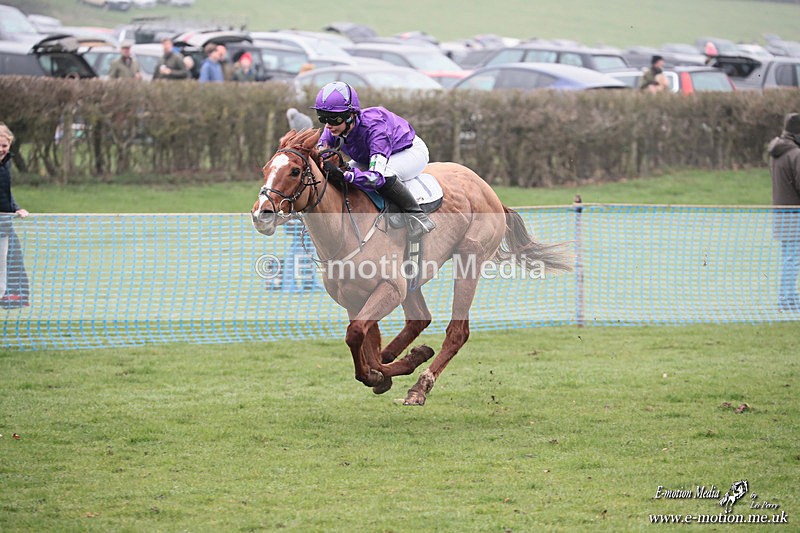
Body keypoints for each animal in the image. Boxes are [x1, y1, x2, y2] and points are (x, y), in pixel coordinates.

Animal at [250, 129, 573, 405]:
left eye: (294, 171)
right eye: (265, 169)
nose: (261, 214)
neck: (345, 231)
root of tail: (488, 190)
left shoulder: (390, 289)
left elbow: (356, 336)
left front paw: (390, 369)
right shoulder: (353, 298)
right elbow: (365, 341)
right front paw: (391, 367)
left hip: (468, 259)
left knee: (457, 332)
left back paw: (420, 385)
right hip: (412, 277)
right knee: (419, 319)